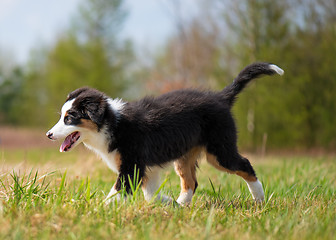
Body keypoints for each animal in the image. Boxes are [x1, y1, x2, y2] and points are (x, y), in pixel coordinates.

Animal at [46, 62, 284, 204]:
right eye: (62, 116)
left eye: (69, 118)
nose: (48, 134)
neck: (111, 123)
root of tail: (220, 97)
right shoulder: (144, 169)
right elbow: (150, 194)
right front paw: (166, 204)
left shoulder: (131, 166)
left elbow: (116, 193)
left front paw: (98, 210)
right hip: (185, 155)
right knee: (191, 183)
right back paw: (181, 205)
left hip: (219, 151)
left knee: (245, 164)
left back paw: (259, 199)